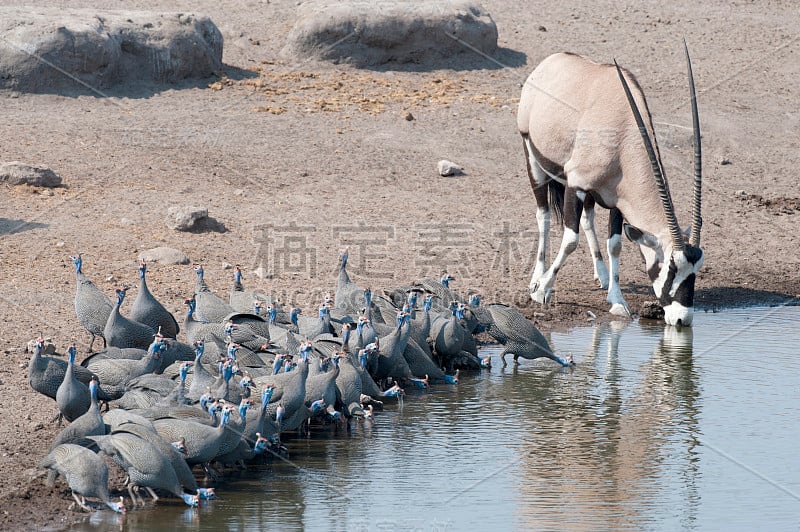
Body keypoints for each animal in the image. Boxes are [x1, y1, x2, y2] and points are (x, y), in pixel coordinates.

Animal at [520, 45, 700, 326]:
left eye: (696, 270)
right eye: (670, 268)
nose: (683, 319)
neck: (623, 133)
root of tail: (552, 60)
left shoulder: (617, 201)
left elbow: (615, 244)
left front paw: (616, 300)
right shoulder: (575, 184)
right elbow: (570, 240)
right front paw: (542, 290)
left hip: (591, 193)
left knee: (587, 219)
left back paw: (602, 275)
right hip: (533, 156)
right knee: (544, 217)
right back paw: (537, 277)